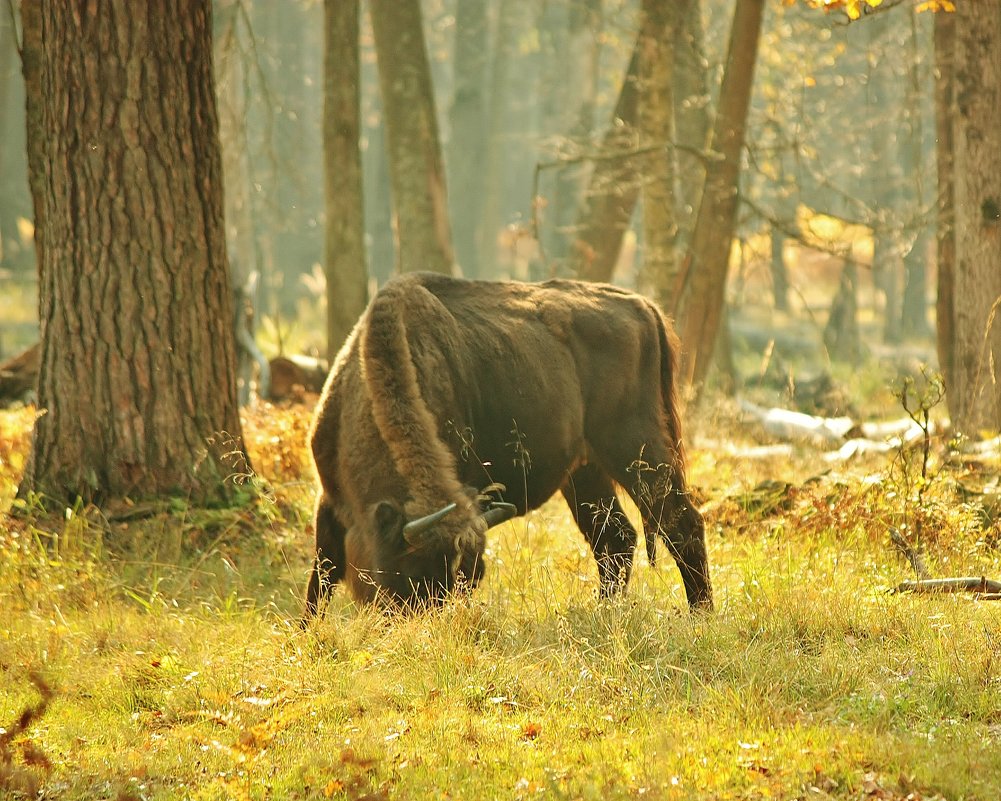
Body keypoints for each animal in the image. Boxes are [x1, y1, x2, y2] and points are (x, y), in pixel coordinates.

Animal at [302, 272, 712, 616]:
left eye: (460, 576)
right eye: (412, 571)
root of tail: (643, 306)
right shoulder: (328, 501)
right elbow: (320, 578)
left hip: (636, 452)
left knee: (681, 523)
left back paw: (700, 615)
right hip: (585, 472)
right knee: (615, 538)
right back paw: (606, 609)